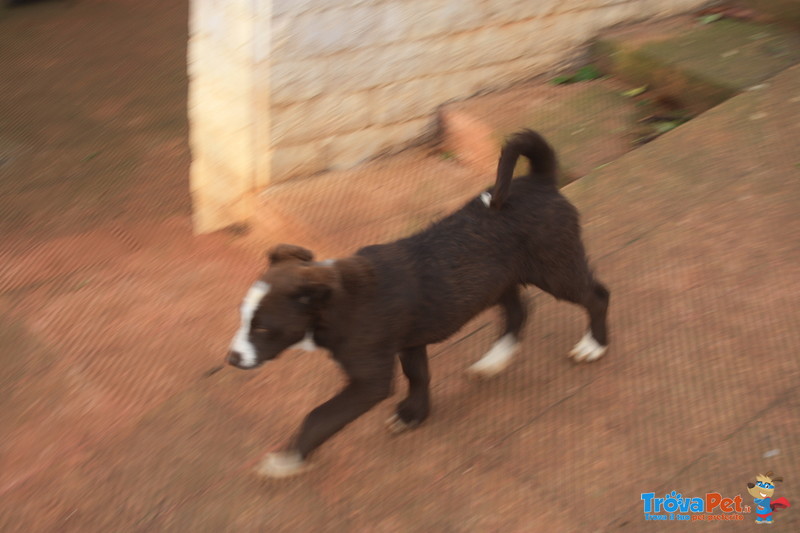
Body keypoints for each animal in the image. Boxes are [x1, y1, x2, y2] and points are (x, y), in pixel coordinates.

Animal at [228, 130, 608, 478]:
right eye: (243, 318)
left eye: (264, 328)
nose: (231, 358)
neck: (338, 301)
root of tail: (541, 181)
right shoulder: (409, 342)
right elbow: (419, 376)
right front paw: (414, 414)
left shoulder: (370, 380)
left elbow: (320, 416)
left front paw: (287, 460)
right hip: (499, 281)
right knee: (519, 310)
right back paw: (494, 361)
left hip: (555, 269)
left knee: (596, 295)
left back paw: (593, 345)